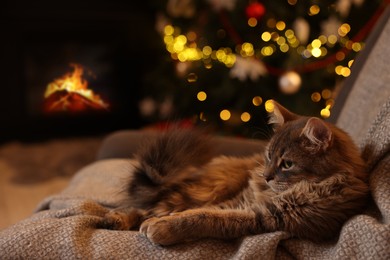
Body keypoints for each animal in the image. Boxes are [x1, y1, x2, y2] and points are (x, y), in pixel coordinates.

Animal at [102, 100, 370, 246]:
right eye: (269, 155)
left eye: (287, 164)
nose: (265, 176)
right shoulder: (238, 201)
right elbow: (195, 213)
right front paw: (159, 223)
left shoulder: (263, 216)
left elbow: (201, 218)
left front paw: (163, 227)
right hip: (207, 189)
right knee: (147, 205)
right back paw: (115, 218)